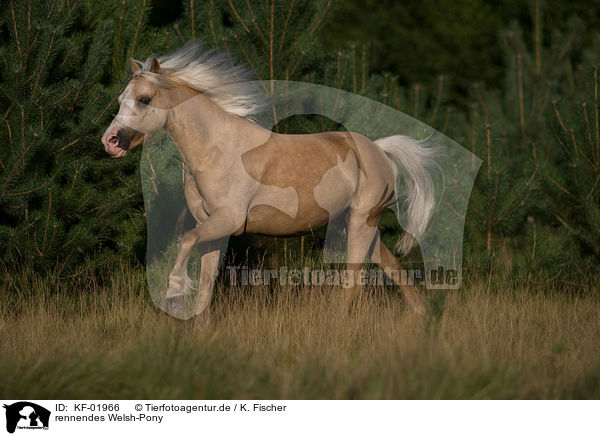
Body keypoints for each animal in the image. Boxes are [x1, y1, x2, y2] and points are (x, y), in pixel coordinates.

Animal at [103, 44, 438, 316]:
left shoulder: (228, 219)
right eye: (120, 99)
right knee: (393, 266)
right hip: (352, 222)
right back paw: (422, 317)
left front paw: (174, 291)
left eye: (144, 99)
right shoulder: (210, 226)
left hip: (360, 221)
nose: (111, 142)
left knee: (353, 281)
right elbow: (206, 285)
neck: (216, 150)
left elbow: (186, 241)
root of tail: (379, 150)